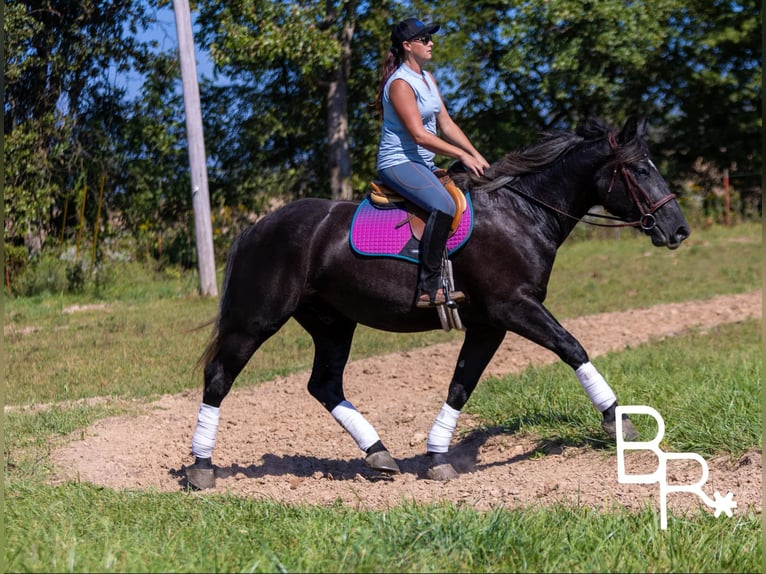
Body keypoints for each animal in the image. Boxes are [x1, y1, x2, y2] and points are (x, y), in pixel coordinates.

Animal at [188, 117, 696, 490]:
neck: (521, 212)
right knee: (220, 377)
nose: (678, 230)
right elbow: (572, 348)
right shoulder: (514, 308)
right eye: (642, 170)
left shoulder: (490, 323)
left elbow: (460, 385)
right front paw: (618, 422)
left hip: (333, 323)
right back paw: (201, 467)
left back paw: (379, 455)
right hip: (258, 319)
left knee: (325, 385)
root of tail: (258, 225)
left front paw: (437, 457)